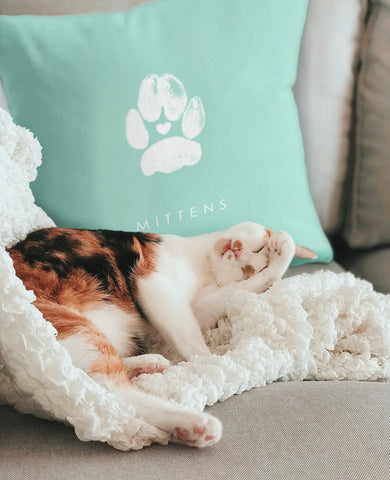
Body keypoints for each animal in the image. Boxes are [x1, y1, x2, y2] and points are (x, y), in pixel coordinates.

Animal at [6, 223, 316, 448]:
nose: (236, 249)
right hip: (68, 322)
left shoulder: (199, 307)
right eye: (259, 245)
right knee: (105, 391)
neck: (203, 266)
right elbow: (189, 335)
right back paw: (194, 423)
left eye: (251, 265)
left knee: (100, 383)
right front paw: (212, 362)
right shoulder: (152, 282)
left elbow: (238, 293)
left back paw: (159, 380)